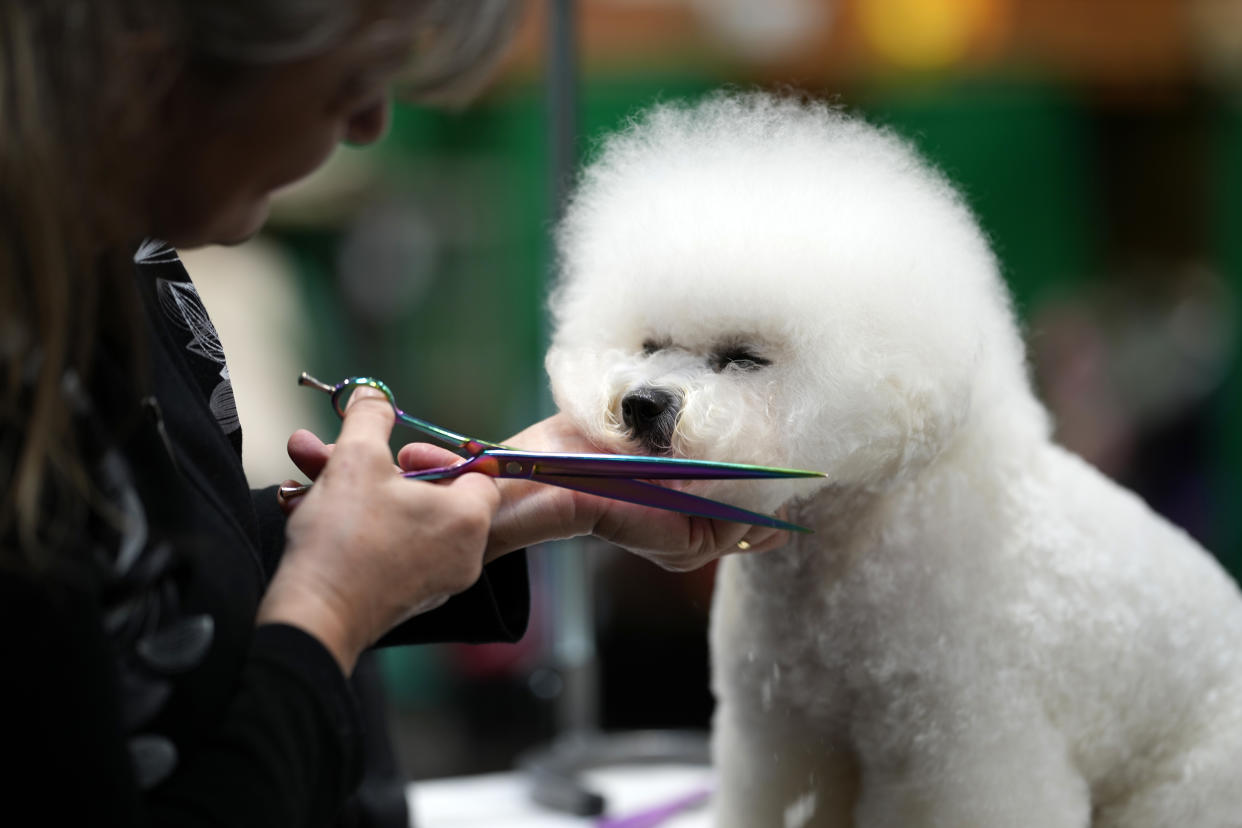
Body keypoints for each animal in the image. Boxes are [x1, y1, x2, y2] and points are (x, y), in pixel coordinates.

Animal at [548, 92, 1242, 828]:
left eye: (743, 358)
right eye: (650, 345)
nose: (642, 404)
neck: (844, 561)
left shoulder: (967, 754)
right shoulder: (775, 730)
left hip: (1186, 787)